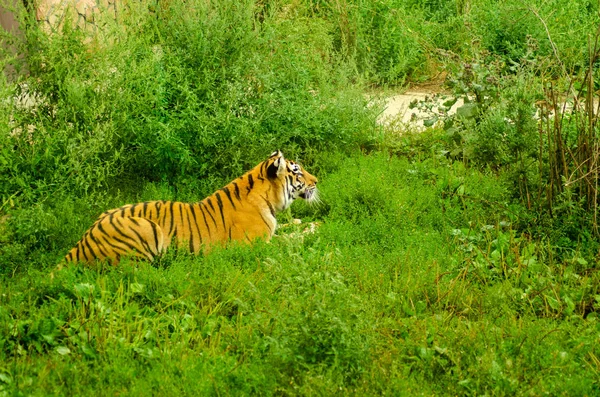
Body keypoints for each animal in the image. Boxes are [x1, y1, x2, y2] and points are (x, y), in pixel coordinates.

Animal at [62, 150, 318, 264]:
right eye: (297, 172)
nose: (316, 181)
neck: (268, 200)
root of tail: (81, 243)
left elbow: (288, 228)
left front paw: (308, 223)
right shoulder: (254, 245)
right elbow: (289, 240)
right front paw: (314, 230)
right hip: (146, 229)